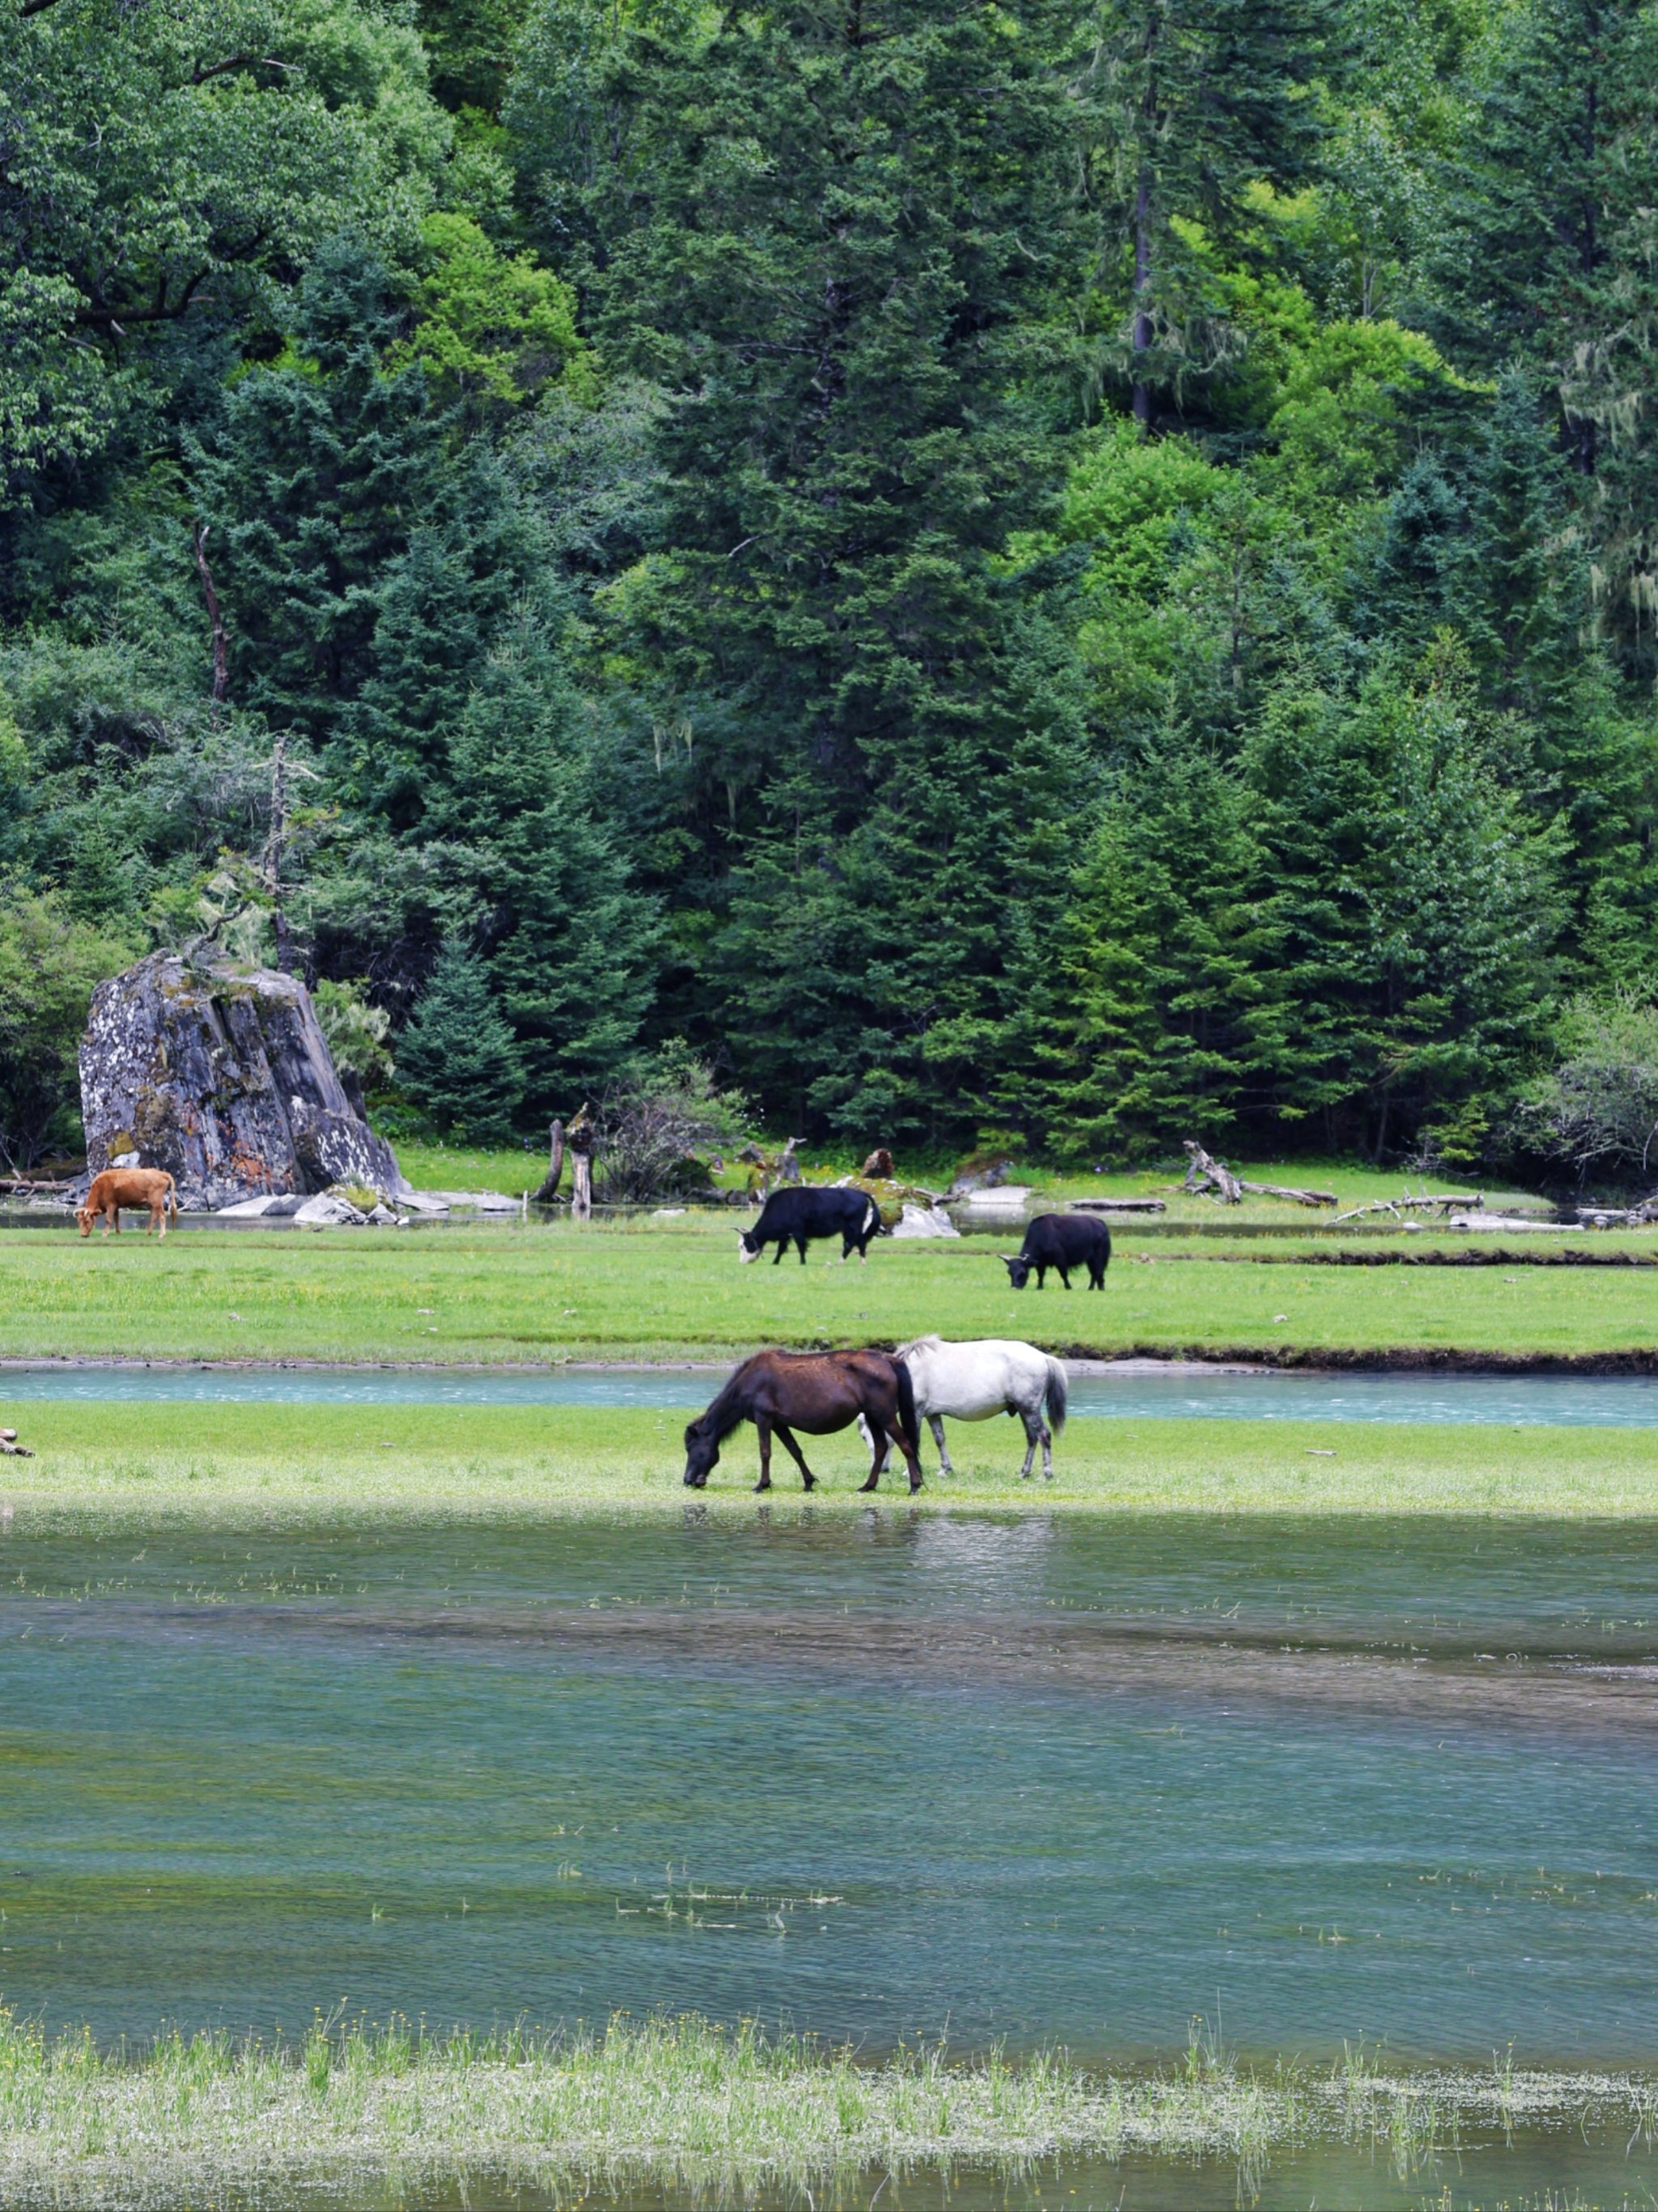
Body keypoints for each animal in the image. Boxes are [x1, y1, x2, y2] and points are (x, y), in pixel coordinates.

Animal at [681, 1336, 928, 1495]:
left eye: (690, 1448)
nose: (688, 1480)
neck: (747, 1382)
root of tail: (888, 1359)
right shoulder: (779, 1424)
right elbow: (795, 1451)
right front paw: (808, 1482)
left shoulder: (764, 1419)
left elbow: (765, 1453)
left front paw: (762, 1484)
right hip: (872, 1415)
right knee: (881, 1448)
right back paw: (868, 1486)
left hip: (884, 1414)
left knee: (906, 1444)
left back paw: (914, 1485)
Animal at [861, 1336, 1069, 1477]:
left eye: (865, 1436)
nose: (881, 1469)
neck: (907, 1372)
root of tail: (1043, 1357)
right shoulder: (932, 1414)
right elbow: (940, 1439)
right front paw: (945, 1469)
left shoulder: (916, 1413)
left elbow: (913, 1440)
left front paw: (908, 1471)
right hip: (1024, 1411)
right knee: (1032, 1438)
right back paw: (1024, 1472)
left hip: (1029, 1409)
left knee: (1044, 1435)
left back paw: (1047, 1473)